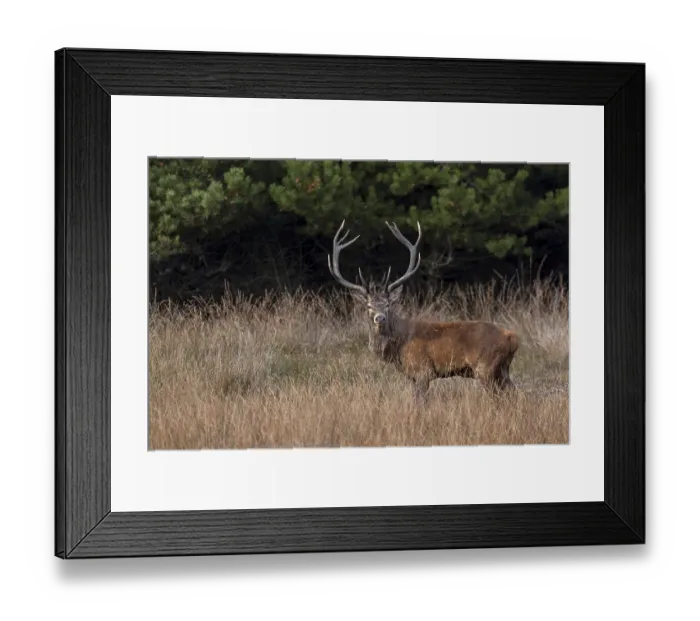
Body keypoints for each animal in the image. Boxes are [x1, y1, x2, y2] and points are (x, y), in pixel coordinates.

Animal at [327, 219, 519, 402]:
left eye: (388, 304)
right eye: (369, 306)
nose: (379, 318)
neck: (399, 345)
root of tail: (512, 337)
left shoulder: (422, 370)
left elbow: (420, 403)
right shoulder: (412, 376)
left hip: (485, 367)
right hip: (502, 370)